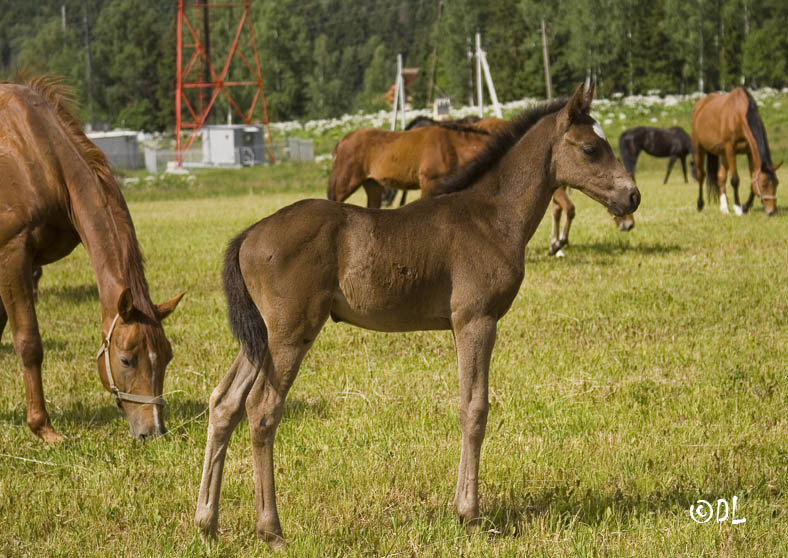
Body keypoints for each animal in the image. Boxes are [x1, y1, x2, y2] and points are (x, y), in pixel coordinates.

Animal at [0, 76, 183, 444]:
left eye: (167, 356)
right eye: (127, 360)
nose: (154, 430)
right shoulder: (12, 254)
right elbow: (28, 342)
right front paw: (43, 428)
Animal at [197, 84, 640, 552]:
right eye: (591, 149)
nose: (632, 196)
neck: (491, 216)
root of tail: (249, 234)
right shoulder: (476, 320)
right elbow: (474, 409)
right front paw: (469, 514)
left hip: (261, 335)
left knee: (224, 402)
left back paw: (207, 522)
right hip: (290, 332)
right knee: (262, 408)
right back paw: (271, 530)